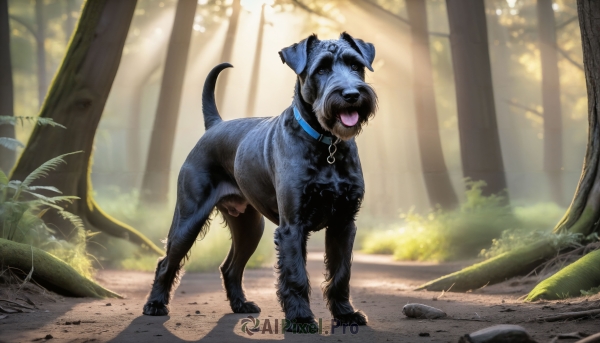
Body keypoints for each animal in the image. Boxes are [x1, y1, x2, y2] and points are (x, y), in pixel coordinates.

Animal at [142, 33, 376, 330]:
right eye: (321, 69)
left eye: (356, 65)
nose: (351, 95)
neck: (327, 145)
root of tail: (215, 125)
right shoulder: (292, 227)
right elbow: (296, 276)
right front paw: (301, 319)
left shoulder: (343, 224)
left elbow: (341, 273)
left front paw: (346, 314)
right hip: (189, 218)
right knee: (167, 262)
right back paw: (155, 305)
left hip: (249, 226)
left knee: (230, 267)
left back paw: (241, 304)